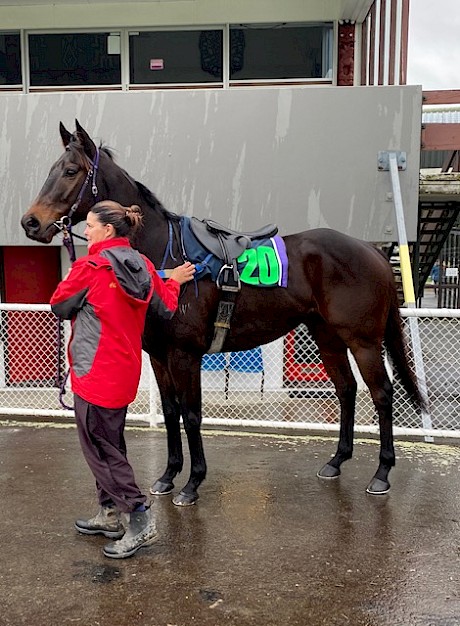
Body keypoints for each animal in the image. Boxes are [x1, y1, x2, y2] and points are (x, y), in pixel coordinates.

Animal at [22, 120, 424, 502]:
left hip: (363, 341)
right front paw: (168, 475)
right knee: (346, 389)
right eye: (51, 169)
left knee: (382, 393)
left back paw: (382, 472)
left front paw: (192, 483)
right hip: (327, 338)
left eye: (70, 170)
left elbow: (192, 414)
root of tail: (371, 250)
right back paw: (337, 460)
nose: (30, 222)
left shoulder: (185, 354)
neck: (165, 253)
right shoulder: (159, 355)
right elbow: (171, 412)